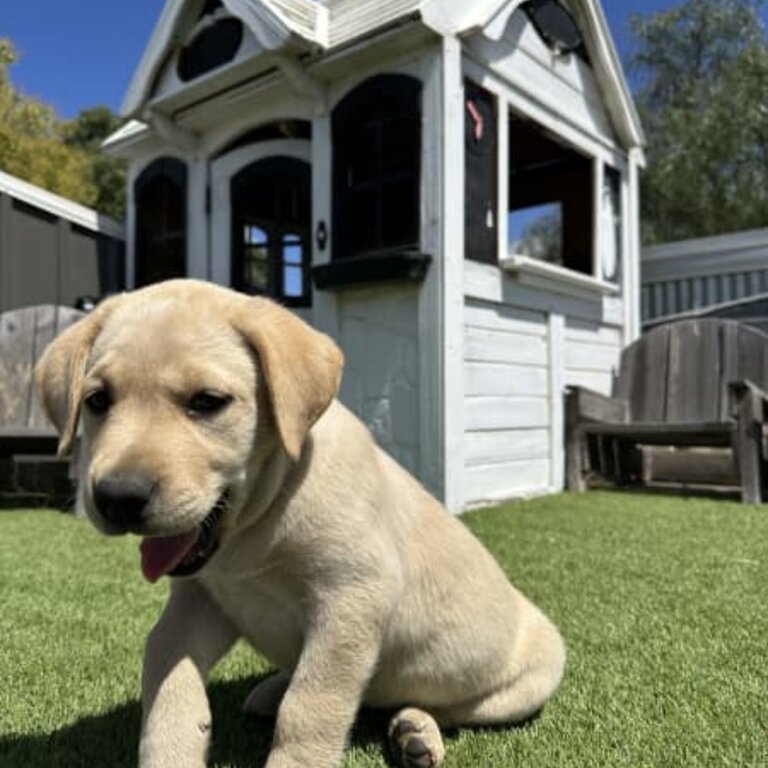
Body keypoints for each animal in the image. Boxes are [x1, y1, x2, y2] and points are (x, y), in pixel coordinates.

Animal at [34, 280, 564, 764]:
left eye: (207, 401)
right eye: (97, 401)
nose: (118, 497)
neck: (254, 531)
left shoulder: (353, 598)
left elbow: (312, 704)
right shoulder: (202, 603)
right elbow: (166, 672)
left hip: (528, 679)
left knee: (445, 707)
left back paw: (415, 730)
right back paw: (276, 691)